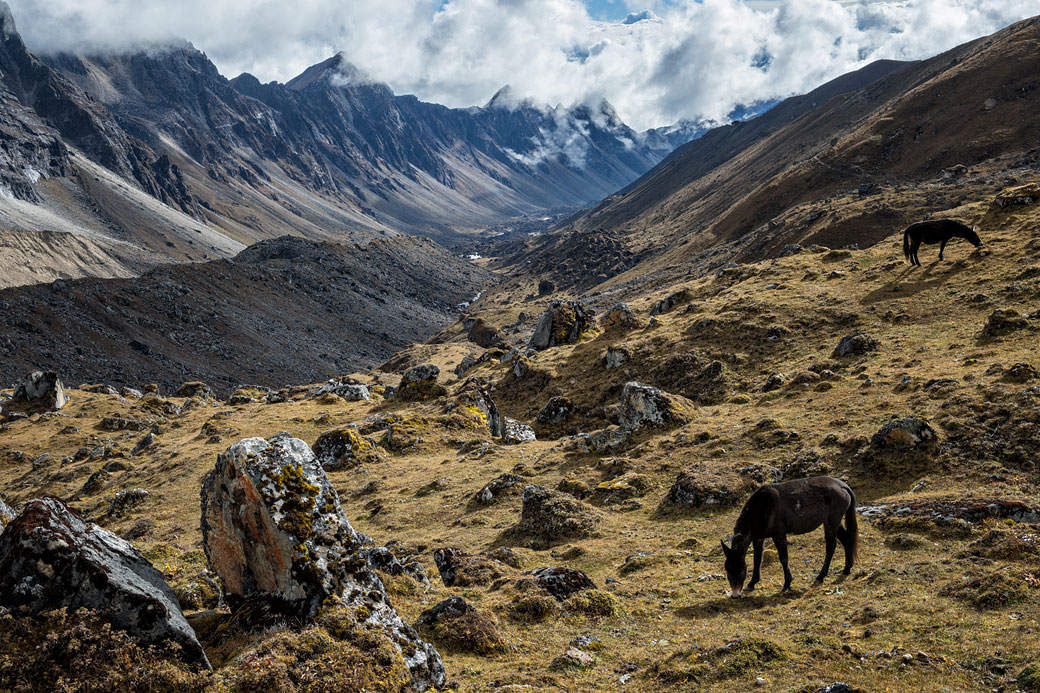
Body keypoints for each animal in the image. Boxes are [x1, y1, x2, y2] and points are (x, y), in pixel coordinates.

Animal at [719, 472, 856, 595]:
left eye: (742, 569)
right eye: (727, 569)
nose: (735, 594)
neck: (762, 508)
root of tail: (842, 485)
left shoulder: (779, 535)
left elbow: (783, 558)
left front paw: (787, 584)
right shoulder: (758, 538)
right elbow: (757, 559)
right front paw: (752, 583)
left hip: (832, 522)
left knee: (831, 548)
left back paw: (821, 576)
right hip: (832, 522)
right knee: (846, 539)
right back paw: (847, 569)